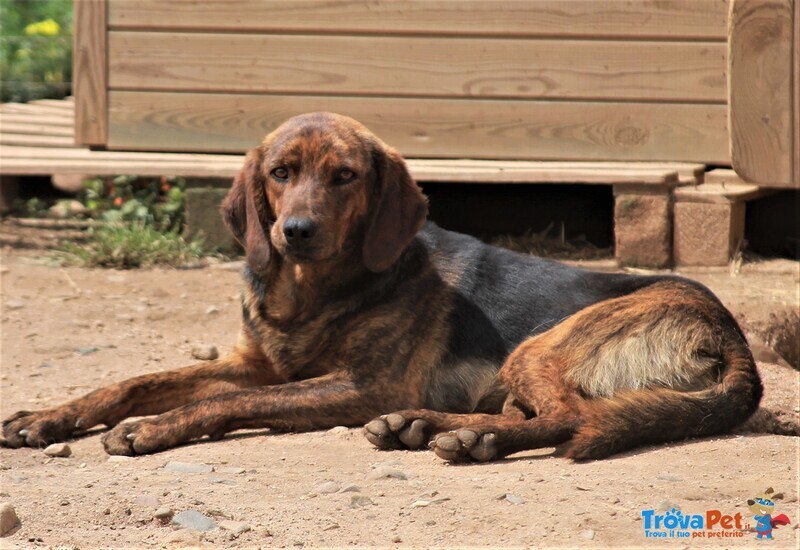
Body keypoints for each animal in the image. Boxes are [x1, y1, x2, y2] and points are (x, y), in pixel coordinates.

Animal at [0, 112, 776, 462]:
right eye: (280, 173)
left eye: (344, 176)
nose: (296, 231)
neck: (309, 295)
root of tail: (734, 341)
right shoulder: (252, 362)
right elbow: (133, 381)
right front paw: (49, 415)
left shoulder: (360, 385)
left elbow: (233, 402)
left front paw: (154, 429)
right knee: (535, 412)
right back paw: (434, 430)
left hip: (541, 343)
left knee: (567, 417)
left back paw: (453, 434)